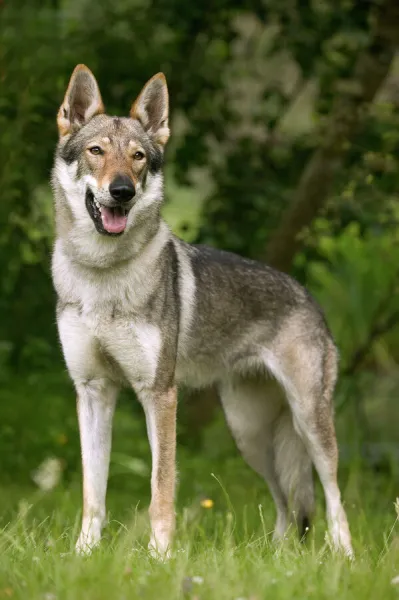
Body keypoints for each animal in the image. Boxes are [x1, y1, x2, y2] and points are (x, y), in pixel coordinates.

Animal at [50, 64, 354, 556]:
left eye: (138, 157)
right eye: (96, 151)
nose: (122, 191)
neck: (103, 276)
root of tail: (309, 297)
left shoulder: (159, 394)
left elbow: (161, 487)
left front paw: (159, 557)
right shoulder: (93, 391)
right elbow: (92, 493)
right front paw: (83, 555)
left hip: (309, 423)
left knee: (333, 497)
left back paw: (342, 559)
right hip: (250, 435)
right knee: (287, 504)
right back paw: (278, 558)